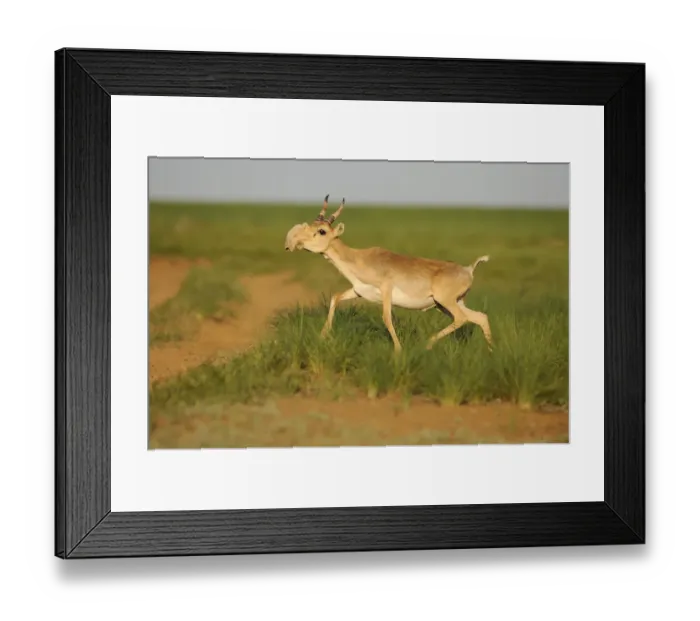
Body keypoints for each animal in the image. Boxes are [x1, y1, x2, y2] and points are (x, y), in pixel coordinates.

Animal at [284, 195, 492, 353]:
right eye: (311, 226)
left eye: (322, 231)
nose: (294, 242)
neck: (360, 258)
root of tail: (468, 269)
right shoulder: (358, 291)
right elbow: (335, 297)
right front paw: (322, 336)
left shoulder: (386, 291)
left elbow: (386, 317)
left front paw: (398, 351)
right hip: (448, 304)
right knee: (480, 317)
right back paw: (490, 352)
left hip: (445, 302)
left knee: (462, 319)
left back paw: (428, 344)